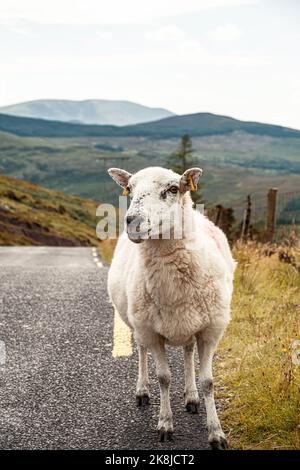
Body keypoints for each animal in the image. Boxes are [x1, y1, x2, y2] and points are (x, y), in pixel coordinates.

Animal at [106, 165, 236, 448]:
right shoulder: (152, 333)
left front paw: (216, 432)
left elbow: (208, 381)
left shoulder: (210, 330)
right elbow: (164, 378)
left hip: (189, 323)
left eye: (173, 189)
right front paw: (165, 425)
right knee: (141, 351)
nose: (132, 221)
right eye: (129, 189)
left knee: (188, 352)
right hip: (139, 324)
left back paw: (191, 397)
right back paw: (142, 391)